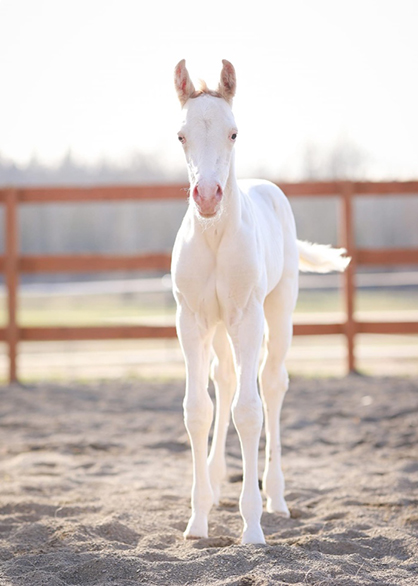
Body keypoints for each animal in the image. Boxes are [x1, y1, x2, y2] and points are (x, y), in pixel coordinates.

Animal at [170, 60, 350, 544]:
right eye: (181, 135)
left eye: (234, 132)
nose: (207, 196)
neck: (214, 236)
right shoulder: (191, 320)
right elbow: (199, 410)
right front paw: (197, 522)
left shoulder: (247, 317)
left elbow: (248, 412)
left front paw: (251, 527)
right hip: (219, 328)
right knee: (226, 380)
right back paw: (216, 486)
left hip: (279, 310)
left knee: (271, 385)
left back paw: (276, 498)